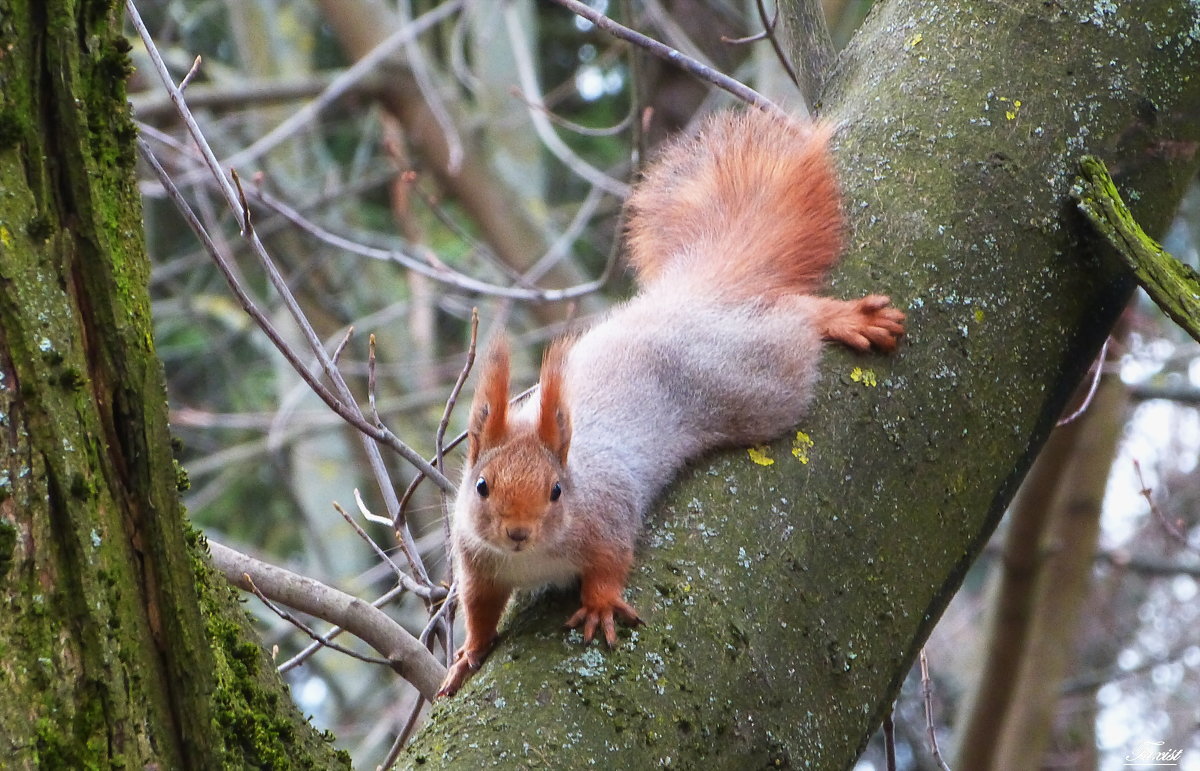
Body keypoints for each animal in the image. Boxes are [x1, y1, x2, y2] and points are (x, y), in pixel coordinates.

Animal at [436, 109, 902, 696]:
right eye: (481, 486)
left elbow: (612, 562)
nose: (517, 533)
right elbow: (479, 612)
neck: (532, 559)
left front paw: (600, 605)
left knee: (795, 317)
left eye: (557, 491)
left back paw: (841, 317)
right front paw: (466, 657)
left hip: (758, 382)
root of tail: (688, 298)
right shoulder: (475, 562)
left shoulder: (607, 515)